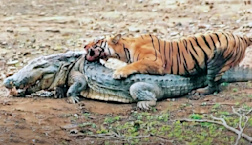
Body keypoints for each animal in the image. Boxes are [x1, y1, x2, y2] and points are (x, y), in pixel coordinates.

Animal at [83, 31, 252, 94]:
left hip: (216, 60)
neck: (125, 50)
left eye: (96, 41)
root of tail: (242, 37)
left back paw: (200, 92)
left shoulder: (155, 62)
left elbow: (135, 64)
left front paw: (119, 73)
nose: (84, 46)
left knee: (214, 84)